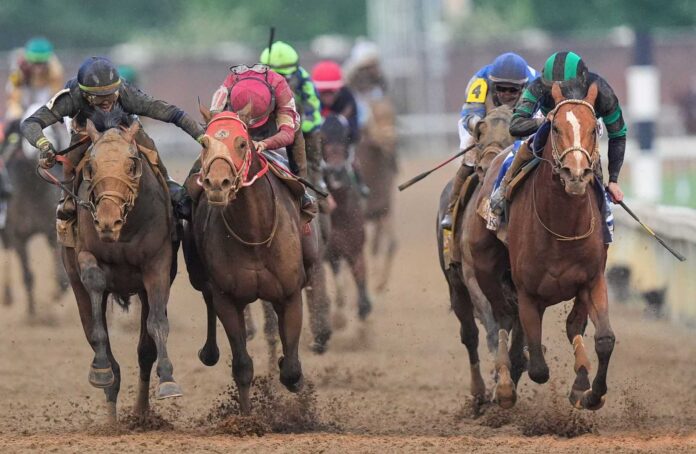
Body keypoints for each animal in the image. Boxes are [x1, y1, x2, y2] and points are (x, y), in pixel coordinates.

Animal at [1, 114, 68, 316]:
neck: (32, 189)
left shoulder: (51, 230)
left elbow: (61, 274)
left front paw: (58, 292)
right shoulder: (18, 236)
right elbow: (27, 275)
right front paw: (32, 313)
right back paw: (7, 296)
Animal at [60, 116, 180, 422]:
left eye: (132, 165)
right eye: (90, 167)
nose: (107, 221)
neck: (125, 231)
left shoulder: (158, 263)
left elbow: (156, 324)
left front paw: (168, 380)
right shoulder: (85, 253)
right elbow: (95, 290)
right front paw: (101, 370)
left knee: (145, 351)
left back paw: (140, 413)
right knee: (98, 342)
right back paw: (111, 415)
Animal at [184, 109, 311, 414]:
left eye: (242, 143)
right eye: (205, 142)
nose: (217, 185)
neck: (254, 233)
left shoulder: (290, 294)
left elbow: (291, 369)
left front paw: (293, 376)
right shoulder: (228, 299)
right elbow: (242, 365)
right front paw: (245, 418)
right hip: (198, 274)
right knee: (206, 295)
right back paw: (209, 352)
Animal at [435, 105, 515, 410]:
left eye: (511, 135)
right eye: (480, 137)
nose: (485, 165)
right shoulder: (472, 276)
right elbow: (491, 329)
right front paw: (499, 385)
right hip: (456, 286)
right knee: (469, 334)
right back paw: (480, 392)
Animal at [472, 83, 614, 410]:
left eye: (594, 129)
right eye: (557, 128)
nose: (576, 174)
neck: (562, 227)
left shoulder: (592, 280)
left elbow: (603, 339)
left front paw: (591, 392)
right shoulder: (527, 292)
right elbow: (537, 365)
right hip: (485, 268)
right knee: (501, 319)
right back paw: (504, 386)